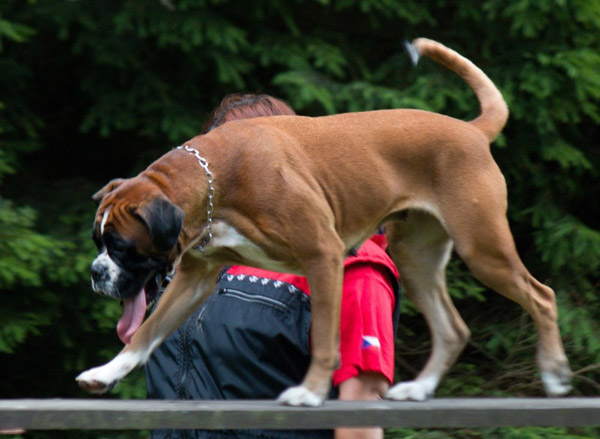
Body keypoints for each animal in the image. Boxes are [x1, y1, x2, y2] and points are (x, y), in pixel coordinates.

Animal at [76, 38, 572, 406]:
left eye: (120, 247)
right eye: (98, 242)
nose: (96, 273)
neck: (214, 178)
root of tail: (471, 129)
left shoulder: (323, 255)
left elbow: (327, 341)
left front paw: (310, 393)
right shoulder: (193, 280)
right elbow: (144, 334)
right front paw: (106, 372)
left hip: (483, 247)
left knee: (542, 295)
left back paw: (553, 374)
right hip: (416, 257)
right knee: (453, 328)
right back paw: (419, 388)